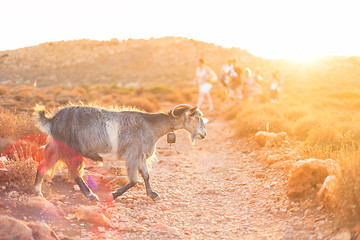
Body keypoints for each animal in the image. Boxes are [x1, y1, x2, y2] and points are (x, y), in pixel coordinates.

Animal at [33, 103, 208, 201]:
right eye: (196, 117)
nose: (203, 134)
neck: (151, 126)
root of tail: (52, 119)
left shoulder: (140, 156)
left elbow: (146, 175)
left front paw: (152, 194)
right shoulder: (133, 155)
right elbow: (134, 180)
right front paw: (114, 195)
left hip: (56, 146)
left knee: (43, 165)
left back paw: (37, 192)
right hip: (69, 148)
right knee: (74, 173)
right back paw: (91, 195)